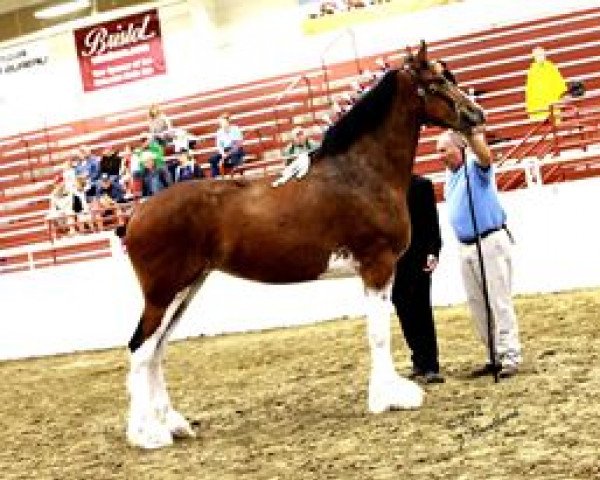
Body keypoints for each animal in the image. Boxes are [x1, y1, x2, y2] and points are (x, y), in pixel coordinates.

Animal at [122, 42, 482, 450]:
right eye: (436, 82)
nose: (477, 115)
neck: (361, 171)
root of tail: (137, 214)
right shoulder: (377, 264)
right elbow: (378, 333)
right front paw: (389, 398)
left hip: (186, 289)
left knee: (157, 351)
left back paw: (172, 425)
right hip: (164, 292)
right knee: (140, 350)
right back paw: (148, 434)